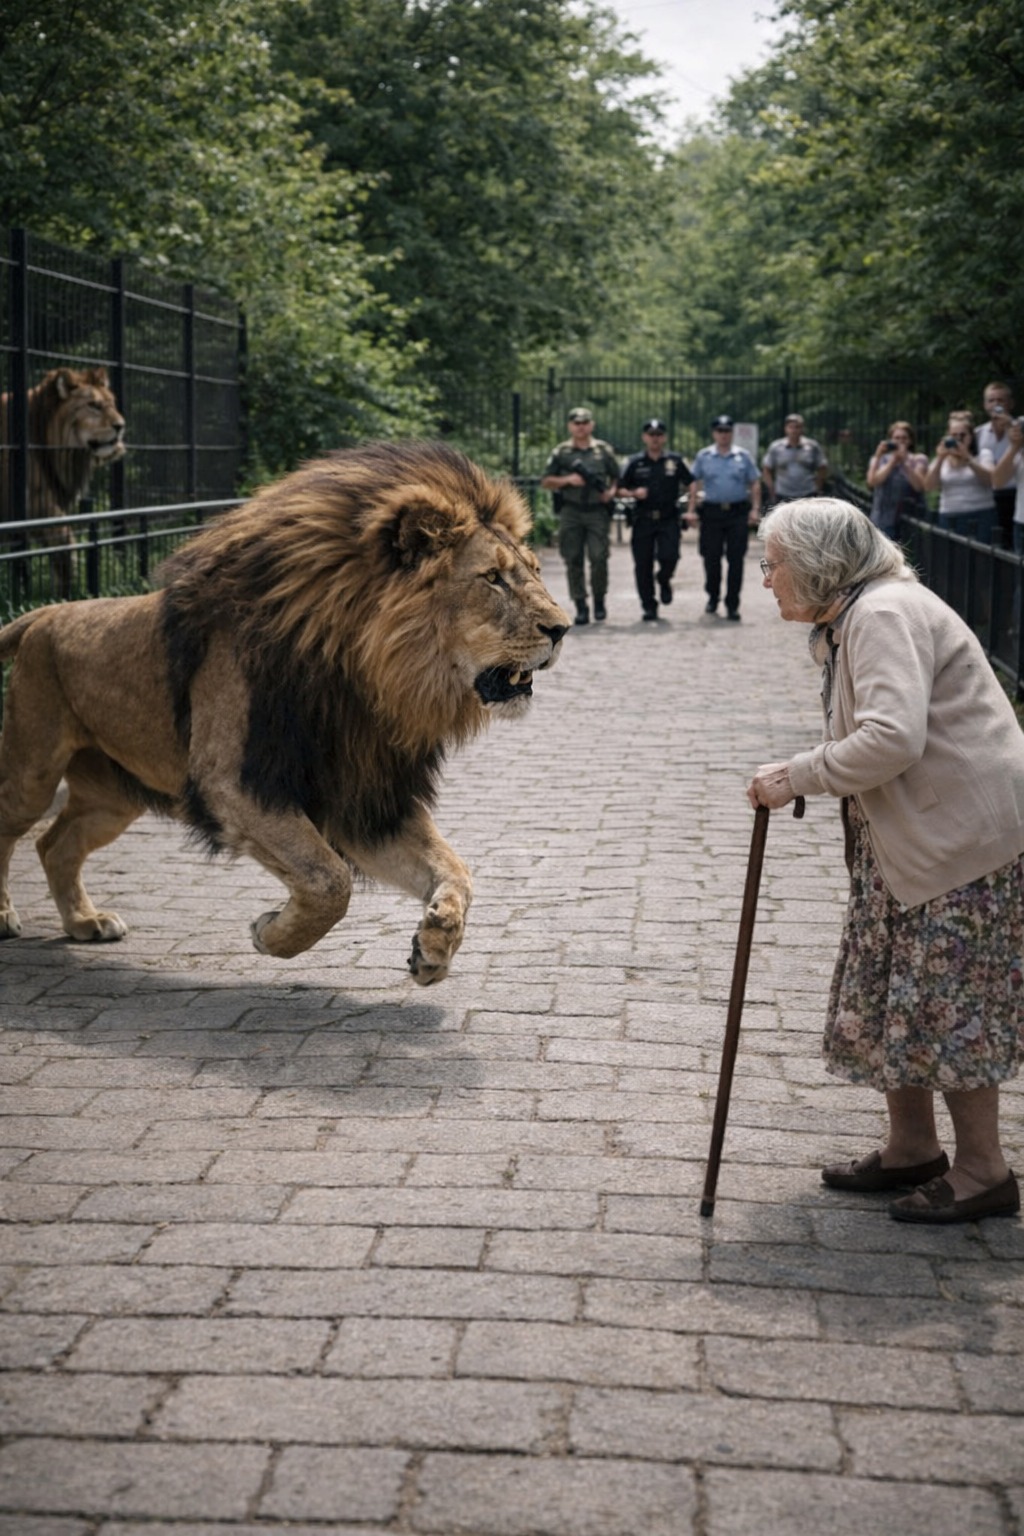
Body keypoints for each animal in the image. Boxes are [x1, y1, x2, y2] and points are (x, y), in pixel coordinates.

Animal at [0, 366, 126, 598]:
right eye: (93, 405)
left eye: (111, 403)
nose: (121, 426)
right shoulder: (35, 502)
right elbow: (66, 544)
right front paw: (64, 594)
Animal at [0, 441, 569, 982]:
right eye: (492, 578)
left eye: (537, 571)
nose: (562, 628)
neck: (367, 677)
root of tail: (43, 616)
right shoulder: (234, 784)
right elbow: (329, 880)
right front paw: (272, 935)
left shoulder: (366, 800)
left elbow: (455, 871)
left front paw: (433, 945)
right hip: (33, 773)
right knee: (17, 827)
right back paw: (8, 916)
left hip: (114, 797)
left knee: (54, 844)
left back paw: (85, 922)